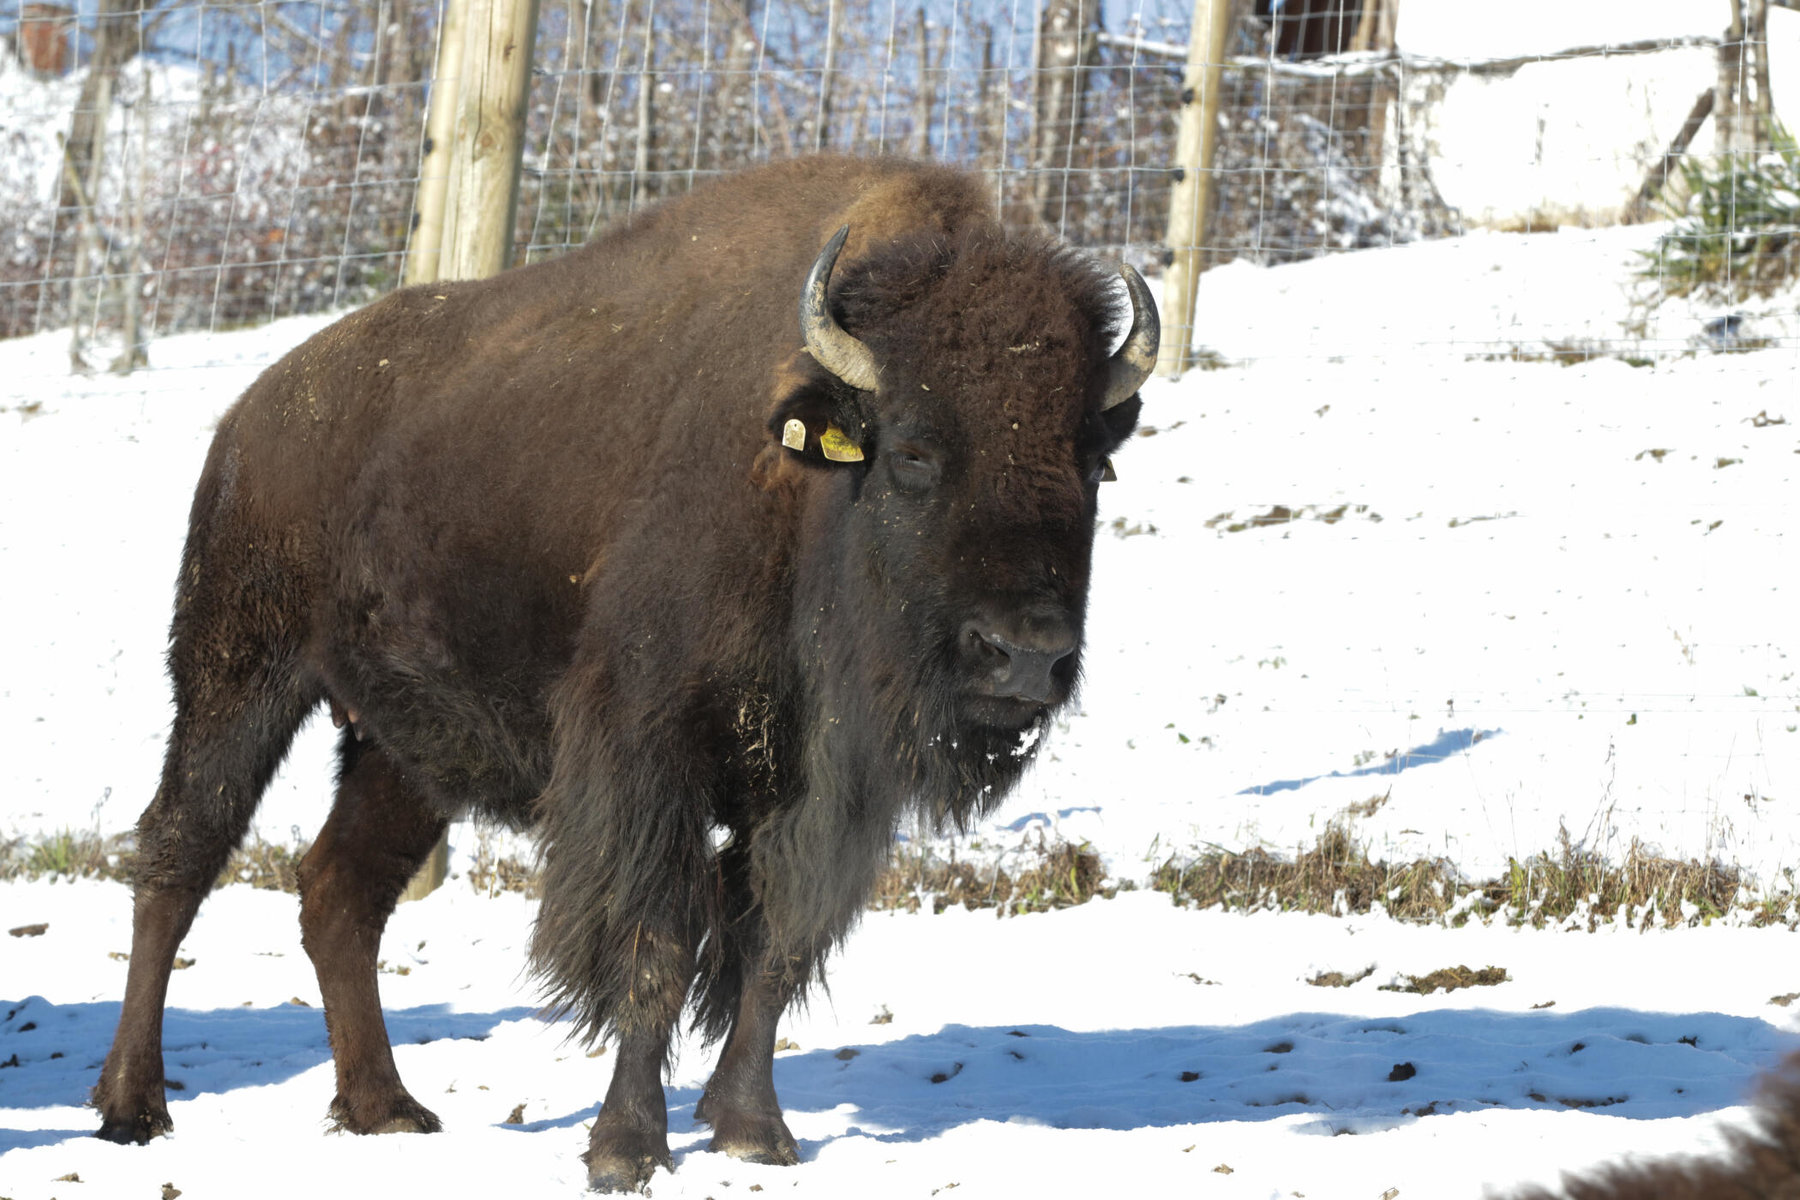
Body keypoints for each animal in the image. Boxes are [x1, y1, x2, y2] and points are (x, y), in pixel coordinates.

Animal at [94, 152, 1152, 1194]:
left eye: (1092, 463)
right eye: (916, 450)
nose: (1025, 653)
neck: (803, 479)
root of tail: (256, 413)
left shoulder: (818, 796)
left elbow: (772, 944)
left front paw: (754, 1132)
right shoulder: (648, 759)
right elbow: (658, 946)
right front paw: (625, 1149)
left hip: (404, 749)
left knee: (339, 894)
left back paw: (385, 1109)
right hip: (239, 675)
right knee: (178, 855)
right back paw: (134, 1109)